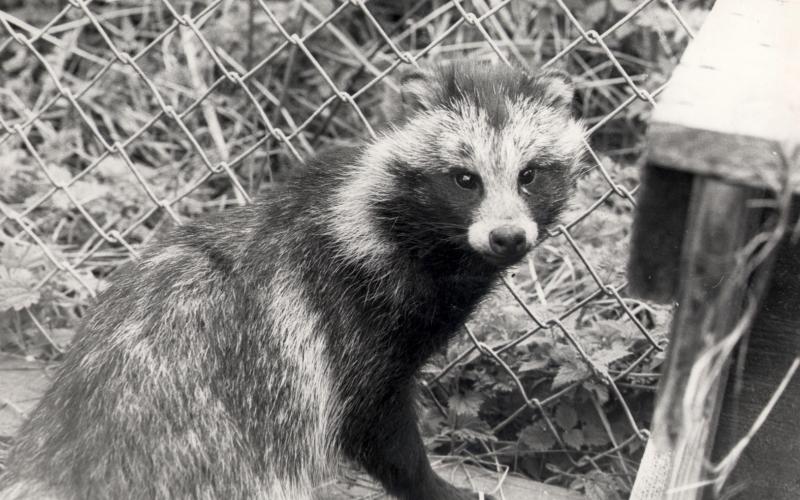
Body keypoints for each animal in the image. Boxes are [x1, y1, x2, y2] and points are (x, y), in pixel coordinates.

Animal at [0, 62, 588, 500]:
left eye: (530, 175)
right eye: (464, 179)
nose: (507, 236)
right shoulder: (349, 316)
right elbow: (371, 423)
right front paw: (434, 486)